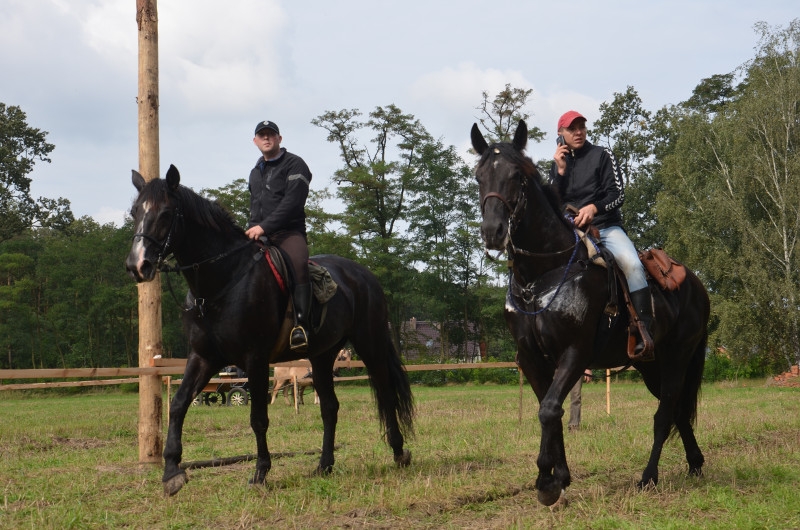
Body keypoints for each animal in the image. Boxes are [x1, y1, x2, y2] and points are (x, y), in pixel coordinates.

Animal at [126, 165, 412, 496]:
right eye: (135, 211)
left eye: (166, 213)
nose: (137, 265)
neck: (223, 280)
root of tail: (365, 275)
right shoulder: (203, 358)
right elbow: (178, 404)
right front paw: (172, 471)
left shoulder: (256, 359)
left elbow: (258, 418)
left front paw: (260, 472)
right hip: (322, 356)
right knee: (329, 407)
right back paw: (324, 465)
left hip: (370, 344)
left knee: (387, 395)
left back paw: (399, 452)